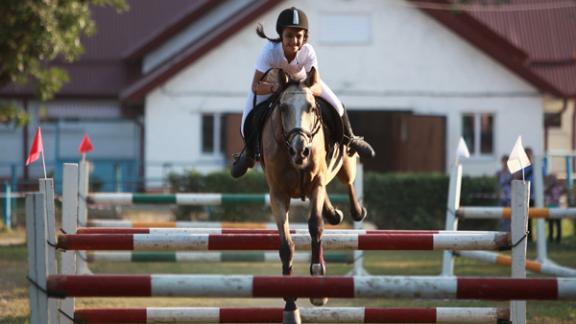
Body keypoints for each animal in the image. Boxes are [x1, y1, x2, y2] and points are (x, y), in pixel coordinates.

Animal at [260, 67, 366, 322]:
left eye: (311, 107)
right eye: (283, 108)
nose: (301, 150)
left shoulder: (316, 184)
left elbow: (315, 226)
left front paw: (318, 282)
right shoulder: (278, 195)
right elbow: (286, 246)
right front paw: (290, 306)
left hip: (346, 163)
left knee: (347, 181)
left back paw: (354, 211)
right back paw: (334, 212)